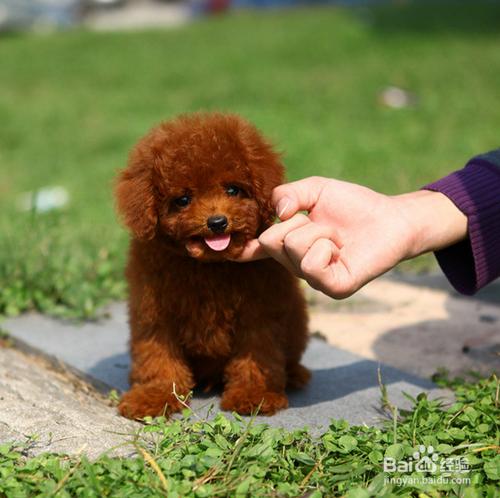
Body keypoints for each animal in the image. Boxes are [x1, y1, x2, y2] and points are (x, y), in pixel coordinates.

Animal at [115, 111, 308, 418]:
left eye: (233, 189)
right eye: (183, 200)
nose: (217, 222)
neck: (209, 265)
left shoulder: (259, 312)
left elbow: (258, 353)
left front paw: (254, 395)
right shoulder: (154, 312)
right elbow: (157, 355)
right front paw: (156, 395)